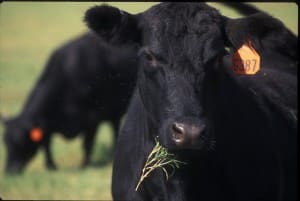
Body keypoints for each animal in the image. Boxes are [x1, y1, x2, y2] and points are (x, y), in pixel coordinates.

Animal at [2, 32, 138, 174]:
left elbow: (87, 144)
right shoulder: (47, 123)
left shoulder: (92, 118)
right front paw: (51, 166)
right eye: (5, 142)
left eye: (20, 142)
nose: (9, 171)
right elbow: (46, 143)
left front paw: (84, 165)